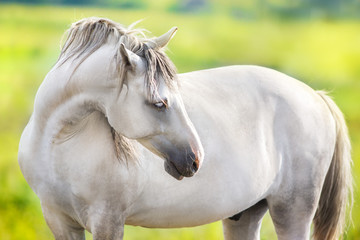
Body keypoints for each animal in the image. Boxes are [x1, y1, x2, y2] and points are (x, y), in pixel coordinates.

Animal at [18, 17, 352, 240]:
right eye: (159, 103)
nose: (195, 159)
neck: (57, 144)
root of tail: (315, 96)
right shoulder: (59, 220)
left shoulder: (107, 221)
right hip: (244, 215)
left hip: (293, 211)